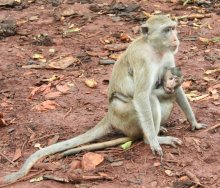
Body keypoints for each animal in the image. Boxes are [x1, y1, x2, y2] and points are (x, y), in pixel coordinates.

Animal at [0, 15, 206, 184]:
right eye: (166, 30)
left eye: (174, 28)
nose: (176, 38)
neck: (155, 49)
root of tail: (110, 114)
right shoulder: (143, 61)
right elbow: (141, 97)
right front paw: (154, 142)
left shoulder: (169, 55)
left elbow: (177, 90)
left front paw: (194, 123)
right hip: (124, 114)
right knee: (151, 99)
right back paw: (150, 138)